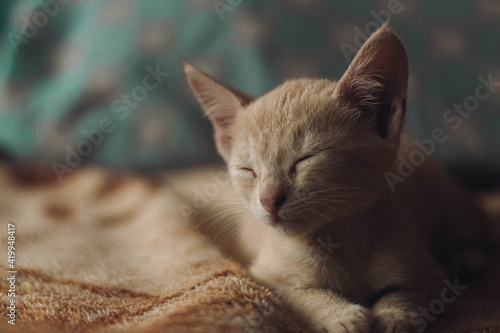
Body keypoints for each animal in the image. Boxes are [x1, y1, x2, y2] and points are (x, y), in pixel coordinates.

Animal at [182, 24, 494, 330]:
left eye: (305, 158)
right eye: (248, 170)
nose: (269, 200)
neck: (337, 240)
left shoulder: (426, 271)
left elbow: (407, 293)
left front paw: (392, 316)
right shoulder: (265, 276)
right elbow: (301, 295)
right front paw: (340, 315)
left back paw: (466, 257)